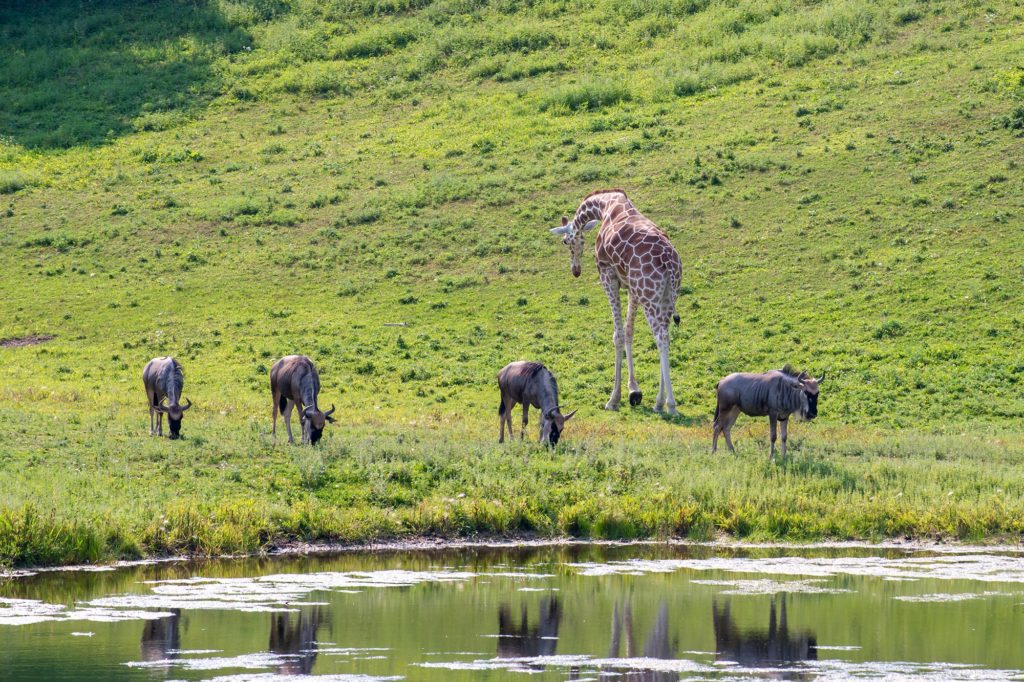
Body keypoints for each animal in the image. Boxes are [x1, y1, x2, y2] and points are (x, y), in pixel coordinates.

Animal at [548, 188, 684, 417]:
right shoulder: (630, 287)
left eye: (565, 241)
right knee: (665, 335)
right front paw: (634, 391)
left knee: (661, 337)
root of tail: (670, 264)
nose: (576, 270)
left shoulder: (608, 275)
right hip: (665, 297)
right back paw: (659, 403)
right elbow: (629, 332)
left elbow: (618, 335)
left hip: (649, 296)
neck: (605, 206)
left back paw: (670, 404)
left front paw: (614, 399)